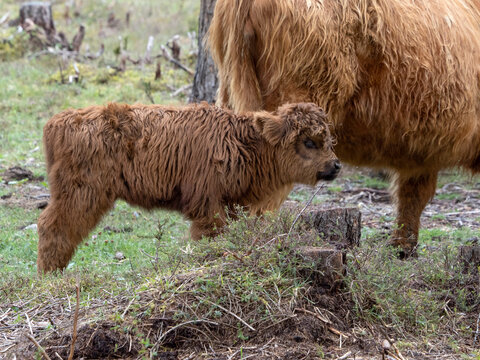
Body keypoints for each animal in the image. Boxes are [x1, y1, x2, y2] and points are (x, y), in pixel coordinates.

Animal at [37, 101, 340, 272]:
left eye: (328, 139)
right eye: (309, 142)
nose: (335, 165)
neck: (245, 143)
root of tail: (58, 121)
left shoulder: (230, 205)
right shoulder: (208, 206)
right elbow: (208, 236)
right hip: (81, 193)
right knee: (53, 225)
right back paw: (50, 276)